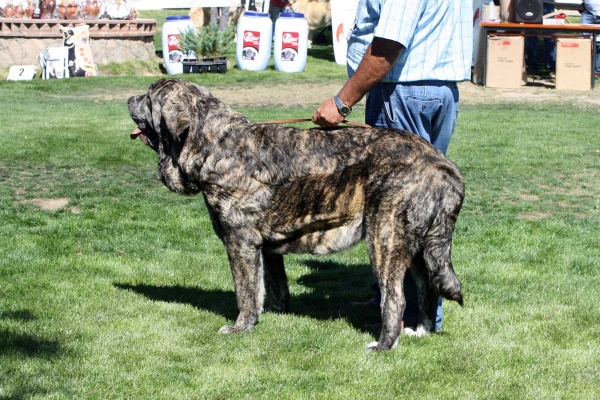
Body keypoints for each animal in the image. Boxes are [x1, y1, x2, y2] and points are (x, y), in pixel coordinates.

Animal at [127, 78, 464, 350]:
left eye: (148, 97)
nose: (129, 99)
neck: (214, 143)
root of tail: (441, 164)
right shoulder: (266, 248)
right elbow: (272, 285)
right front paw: (272, 314)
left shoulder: (240, 242)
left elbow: (245, 291)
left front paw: (240, 326)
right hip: (420, 248)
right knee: (427, 288)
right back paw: (421, 331)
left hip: (386, 237)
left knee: (395, 297)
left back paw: (383, 344)